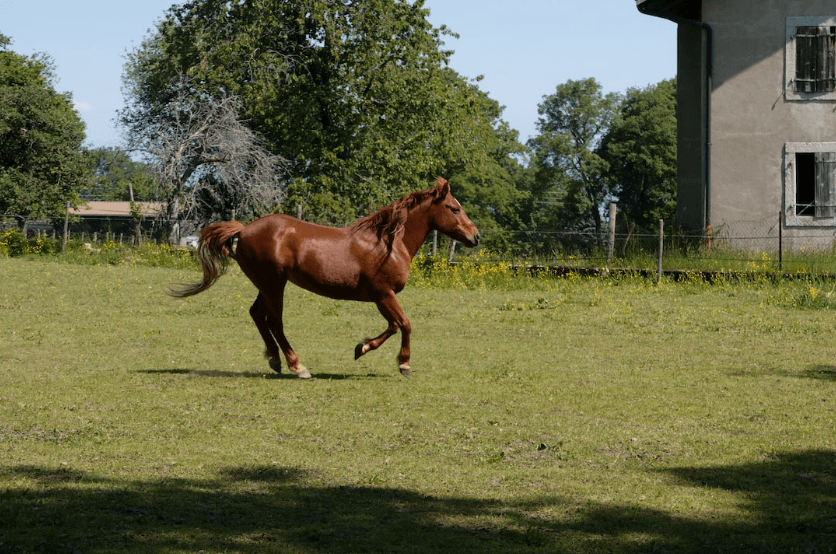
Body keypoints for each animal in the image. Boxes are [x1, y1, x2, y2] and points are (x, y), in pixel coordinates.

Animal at [169, 177, 480, 378]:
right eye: (454, 208)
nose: (475, 237)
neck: (389, 244)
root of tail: (243, 230)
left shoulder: (380, 297)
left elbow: (393, 326)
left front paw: (361, 348)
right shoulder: (383, 294)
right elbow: (404, 324)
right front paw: (404, 365)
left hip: (266, 285)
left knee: (257, 314)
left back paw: (275, 360)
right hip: (274, 283)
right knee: (274, 321)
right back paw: (297, 367)